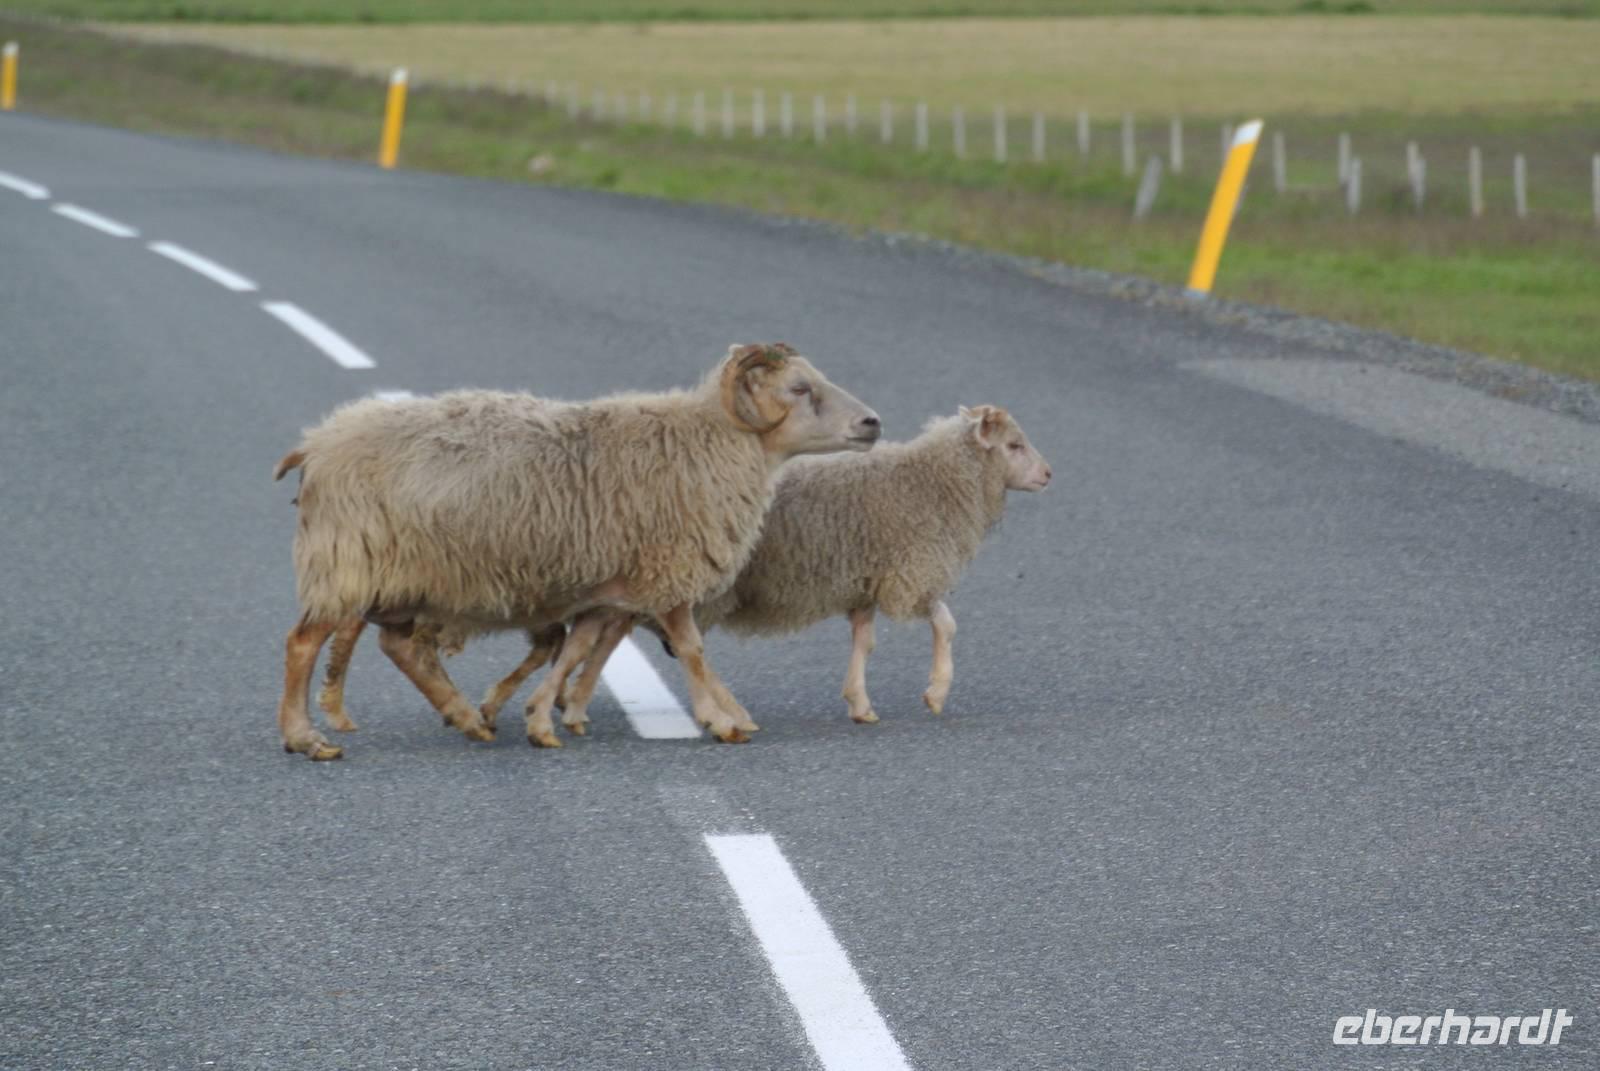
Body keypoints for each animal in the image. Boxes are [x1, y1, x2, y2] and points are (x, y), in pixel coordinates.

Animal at [272, 343, 881, 760]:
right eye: (799, 388)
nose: (872, 422)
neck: (711, 443)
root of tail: (317, 442)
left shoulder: (608, 586)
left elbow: (579, 649)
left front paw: (545, 719)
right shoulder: (665, 570)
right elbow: (691, 650)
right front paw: (723, 720)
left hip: (402, 578)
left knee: (399, 647)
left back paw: (468, 717)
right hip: (346, 563)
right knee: (304, 643)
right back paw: (305, 738)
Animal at [545, 404, 1051, 728]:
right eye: (1014, 445)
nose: (1048, 475)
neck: (934, 482)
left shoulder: (864, 581)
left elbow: (863, 643)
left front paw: (859, 703)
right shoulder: (909, 575)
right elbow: (946, 624)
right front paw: (936, 693)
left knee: (609, 631)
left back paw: (569, 701)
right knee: (627, 634)